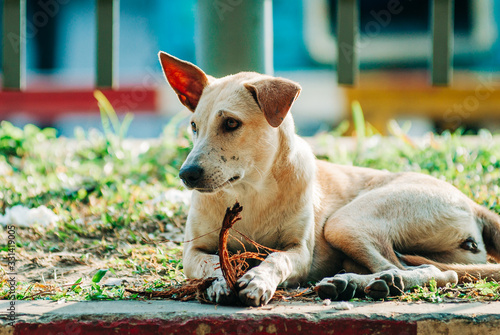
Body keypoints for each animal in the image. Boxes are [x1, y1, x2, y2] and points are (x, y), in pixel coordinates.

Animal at [159, 52, 500, 308]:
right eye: (194, 126)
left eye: (231, 123)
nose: (186, 174)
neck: (250, 191)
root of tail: (470, 202)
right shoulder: (192, 252)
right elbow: (213, 261)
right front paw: (219, 281)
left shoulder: (299, 252)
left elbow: (277, 259)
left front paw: (258, 279)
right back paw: (353, 283)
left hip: (344, 223)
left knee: (427, 271)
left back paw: (374, 283)